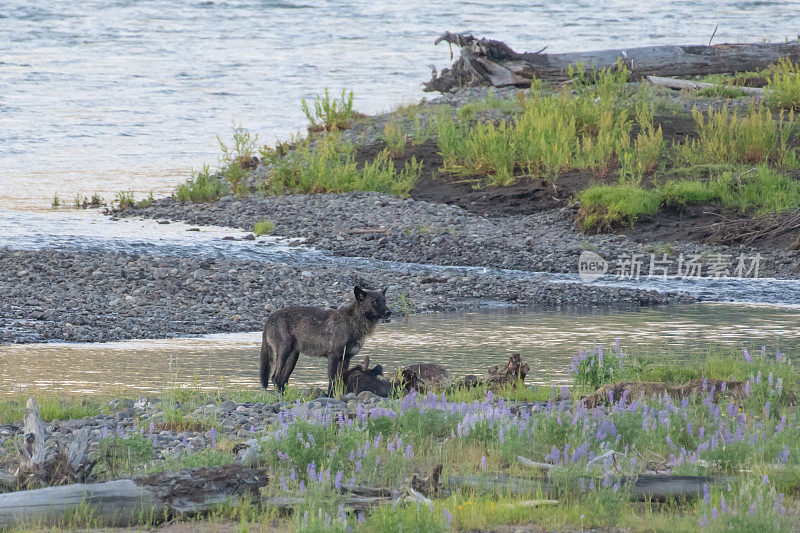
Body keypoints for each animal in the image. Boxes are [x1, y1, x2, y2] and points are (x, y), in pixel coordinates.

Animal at [260, 286, 390, 394]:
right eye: (375, 302)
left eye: (384, 301)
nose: (389, 312)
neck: (353, 322)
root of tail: (269, 318)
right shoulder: (333, 356)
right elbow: (332, 379)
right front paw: (330, 396)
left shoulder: (346, 358)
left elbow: (340, 379)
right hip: (284, 352)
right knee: (275, 377)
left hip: (293, 357)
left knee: (283, 379)